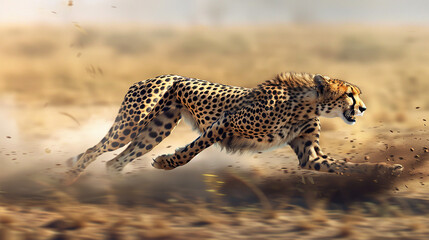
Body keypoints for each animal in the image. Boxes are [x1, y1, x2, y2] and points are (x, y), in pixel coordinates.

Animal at [65, 72, 402, 183]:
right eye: (350, 94)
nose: (363, 108)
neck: (308, 103)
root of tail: (150, 76)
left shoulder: (311, 155)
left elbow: (344, 165)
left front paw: (386, 170)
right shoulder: (224, 123)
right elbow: (190, 151)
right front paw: (165, 163)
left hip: (153, 131)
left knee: (113, 161)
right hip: (131, 125)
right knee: (95, 149)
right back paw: (71, 173)